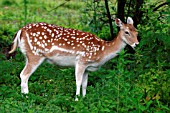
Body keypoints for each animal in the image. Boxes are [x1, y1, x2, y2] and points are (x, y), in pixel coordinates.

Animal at [8, 17, 138, 100]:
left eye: (136, 31)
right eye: (126, 32)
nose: (136, 44)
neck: (102, 50)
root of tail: (21, 30)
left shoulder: (87, 67)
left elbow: (85, 83)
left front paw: (84, 98)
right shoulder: (81, 61)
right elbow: (78, 82)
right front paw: (76, 99)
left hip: (28, 55)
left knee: (23, 74)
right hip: (35, 54)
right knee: (24, 74)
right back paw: (26, 97)